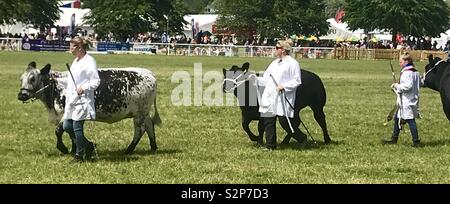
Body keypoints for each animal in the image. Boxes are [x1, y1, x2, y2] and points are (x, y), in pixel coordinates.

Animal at [18, 62, 162, 155]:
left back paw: (129, 150)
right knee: (149, 125)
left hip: (139, 113)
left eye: (32, 79)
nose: (21, 95)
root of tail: (148, 73)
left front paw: (64, 148)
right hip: (143, 113)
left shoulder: (66, 114)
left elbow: (59, 130)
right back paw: (153, 147)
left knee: (140, 130)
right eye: (21, 79)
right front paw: (77, 149)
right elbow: (71, 132)